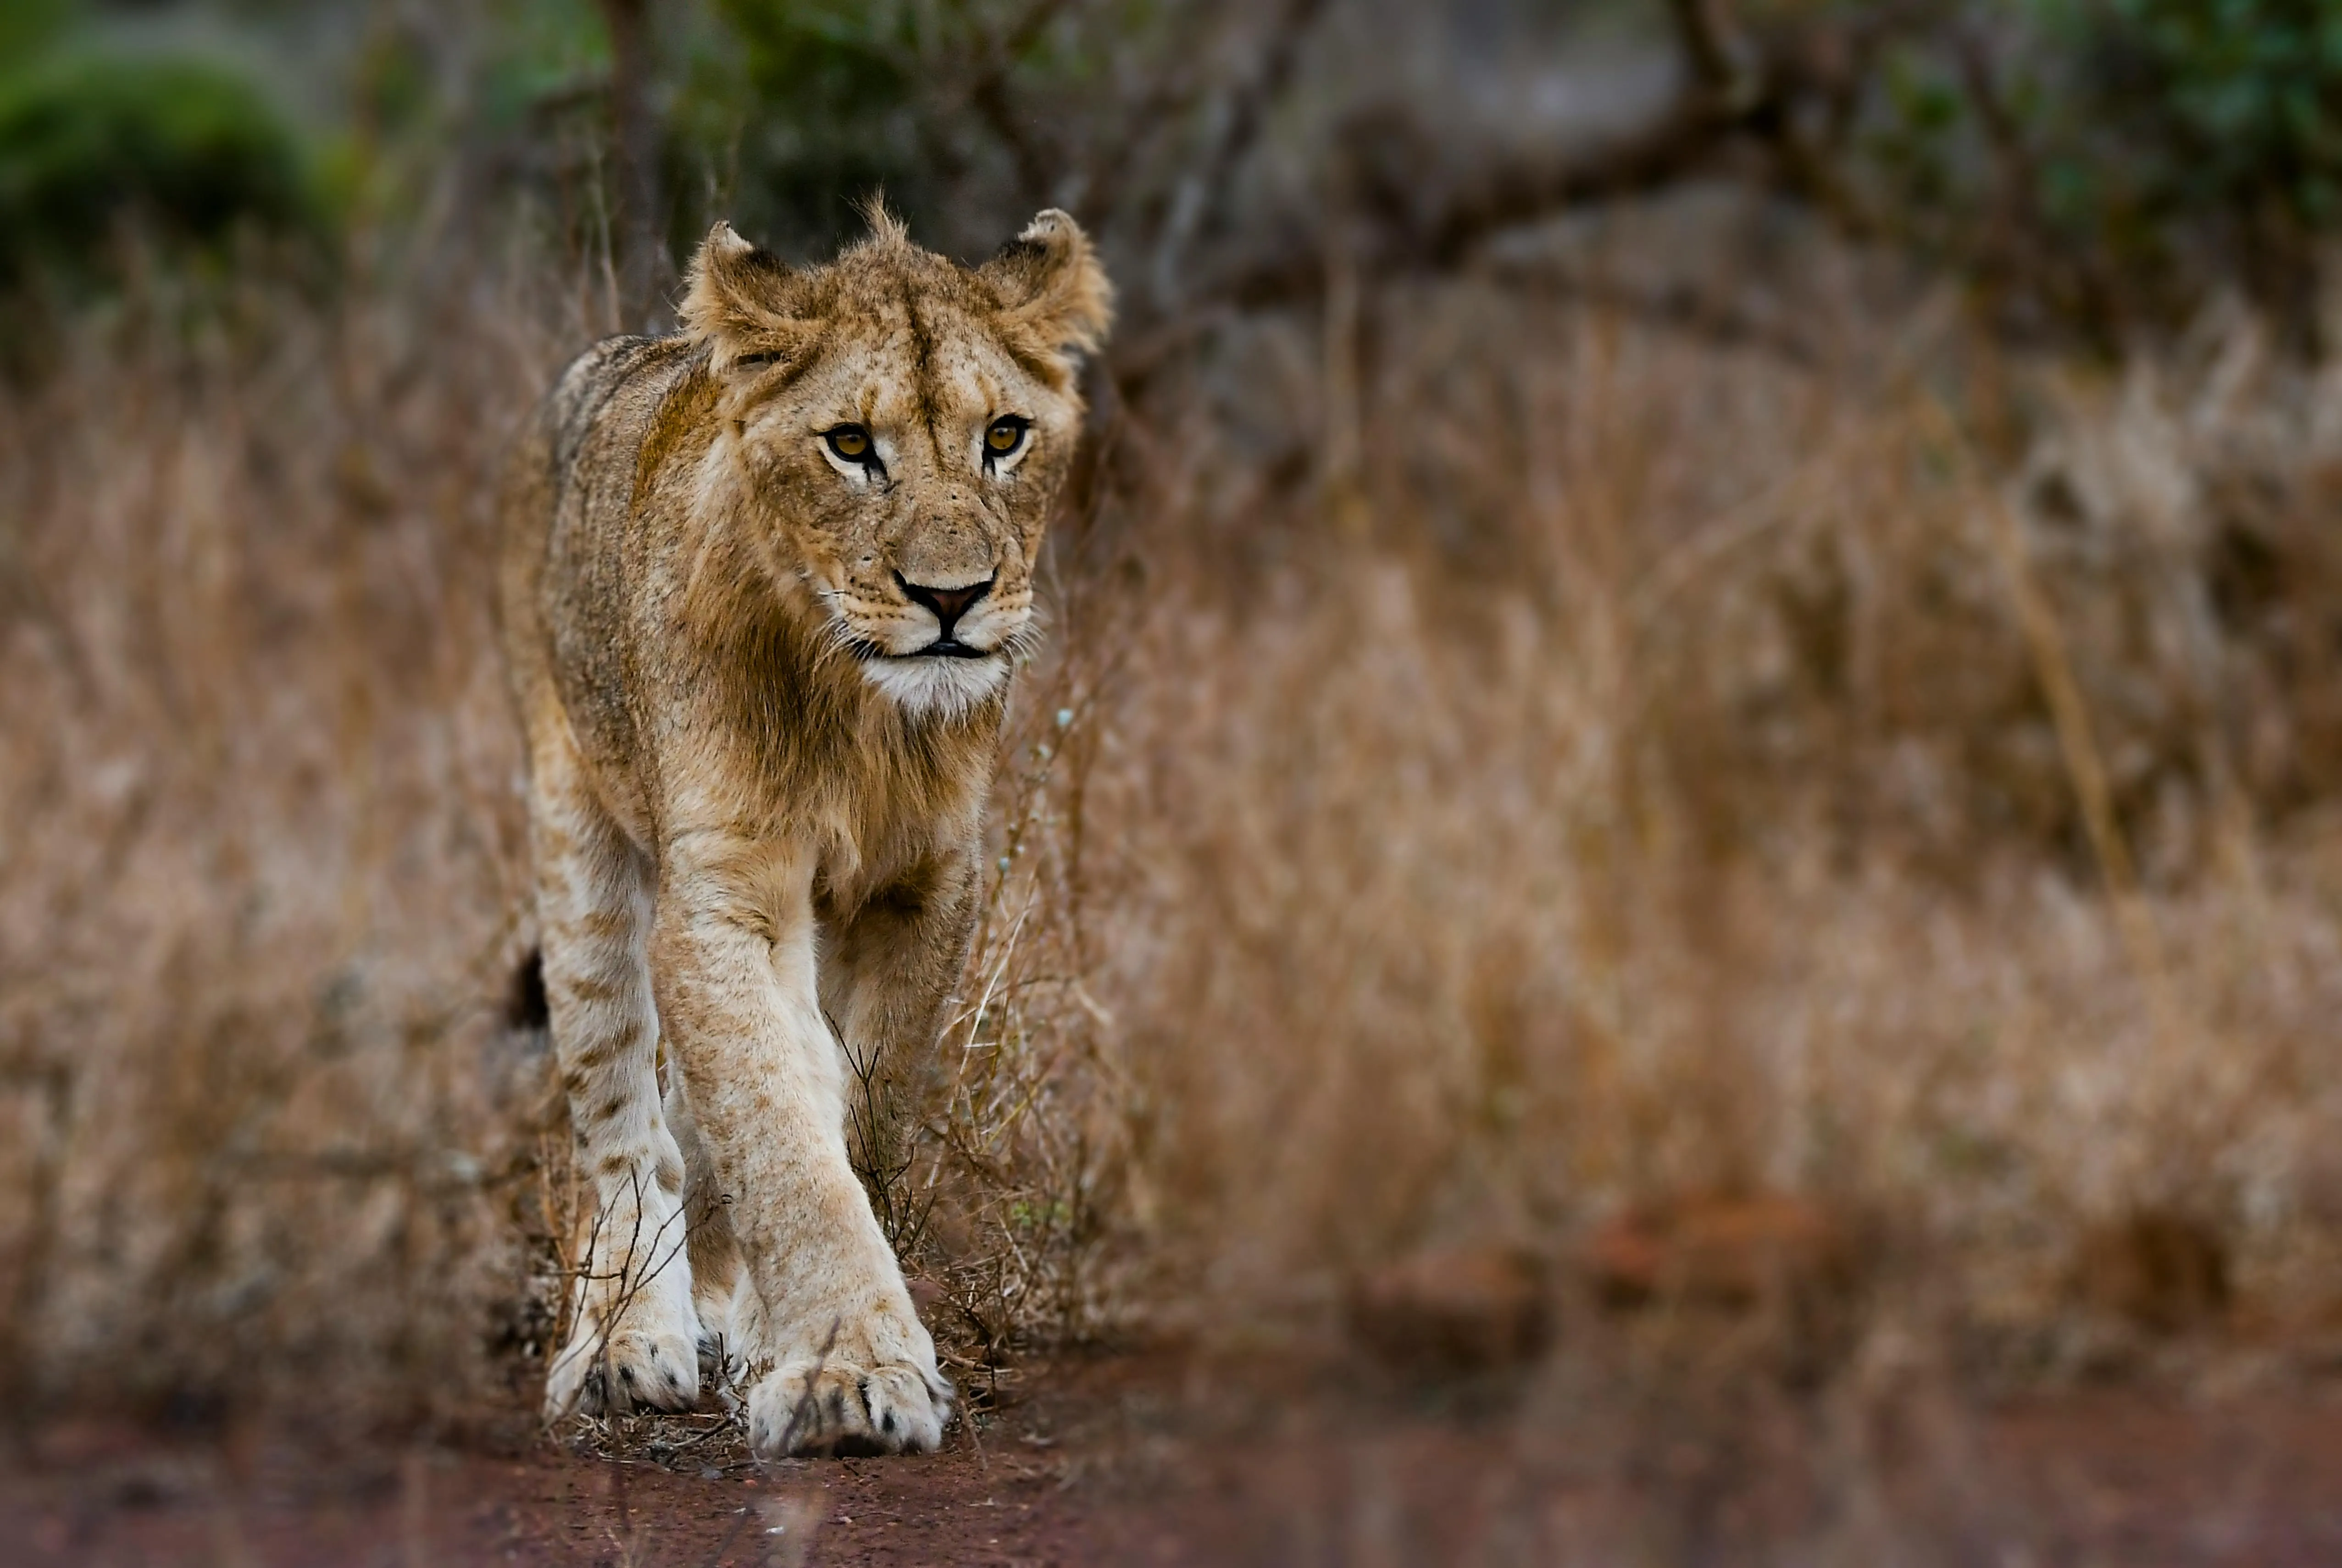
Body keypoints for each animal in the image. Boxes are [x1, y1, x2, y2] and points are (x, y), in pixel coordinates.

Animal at [498, 206, 1110, 1456]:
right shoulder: (723, 893)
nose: (951, 598)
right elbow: (780, 1128)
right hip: (578, 840)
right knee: (623, 1124)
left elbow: (850, 1108)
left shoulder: (928, 883)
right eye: (850, 445)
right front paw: (844, 1369)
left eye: (1006, 435)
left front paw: (798, 1337)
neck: (860, 713)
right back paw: (625, 1340)